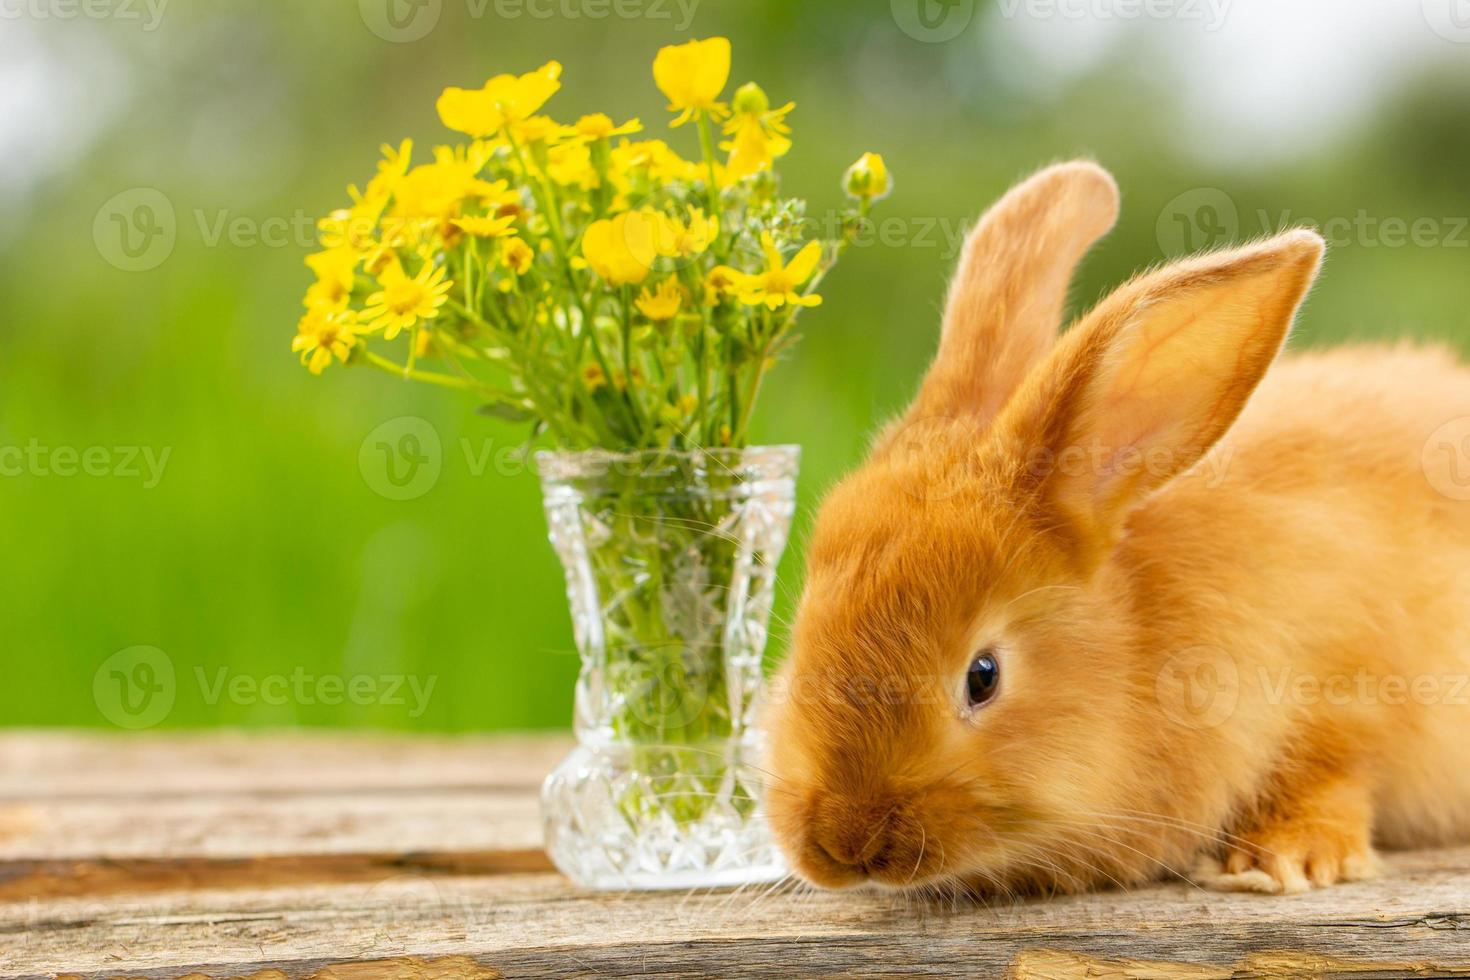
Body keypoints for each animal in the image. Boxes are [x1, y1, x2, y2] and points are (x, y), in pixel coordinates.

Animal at [764, 160, 1470, 899]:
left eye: (983, 676)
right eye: (800, 636)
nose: (843, 841)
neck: (1142, 629)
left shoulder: (1353, 685)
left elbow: (1334, 769)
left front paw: (1280, 860)